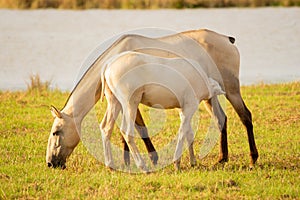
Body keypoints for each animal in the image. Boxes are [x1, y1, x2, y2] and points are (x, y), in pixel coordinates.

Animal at [46, 28, 258, 170]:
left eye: (56, 132)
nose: (50, 163)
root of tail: (228, 39)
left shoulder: (132, 102)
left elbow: (139, 129)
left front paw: (150, 158)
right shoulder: (122, 102)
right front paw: (128, 161)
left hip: (231, 90)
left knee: (245, 117)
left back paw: (253, 158)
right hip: (210, 98)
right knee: (221, 119)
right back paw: (222, 158)